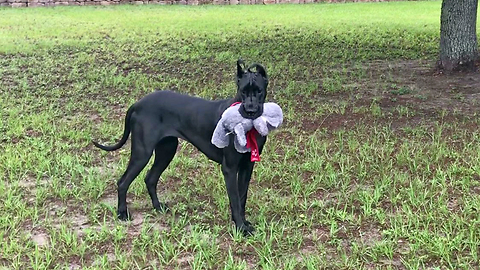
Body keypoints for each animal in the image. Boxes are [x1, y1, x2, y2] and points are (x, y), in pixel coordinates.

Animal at [92, 59, 268, 234]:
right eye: (243, 91)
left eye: (259, 91)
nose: (250, 110)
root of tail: (137, 103)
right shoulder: (230, 168)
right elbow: (235, 200)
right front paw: (240, 227)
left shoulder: (247, 166)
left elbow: (242, 197)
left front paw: (245, 223)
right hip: (142, 152)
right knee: (123, 182)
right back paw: (122, 213)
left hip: (167, 150)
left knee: (150, 178)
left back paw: (158, 207)